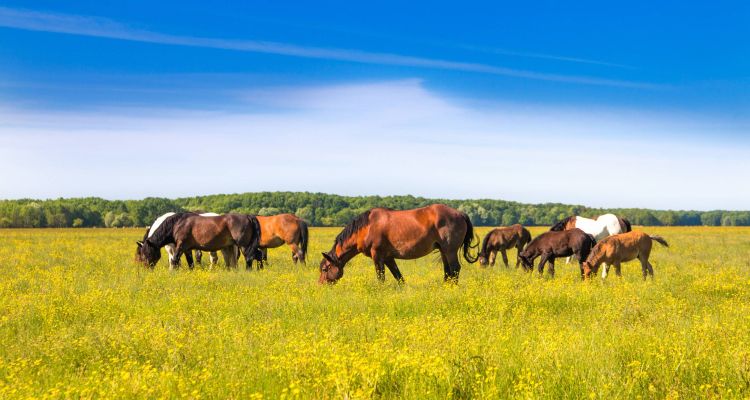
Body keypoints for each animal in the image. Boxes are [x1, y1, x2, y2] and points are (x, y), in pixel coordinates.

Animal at [320, 203, 478, 284]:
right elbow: (399, 277)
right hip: (443, 251)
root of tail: (460, 213)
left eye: (325, 269)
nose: (320, 285)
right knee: (448, 271)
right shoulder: (388, 258)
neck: (367, 227)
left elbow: (381, 277)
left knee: (455, 269)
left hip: (450, 251)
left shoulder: (377, 256)